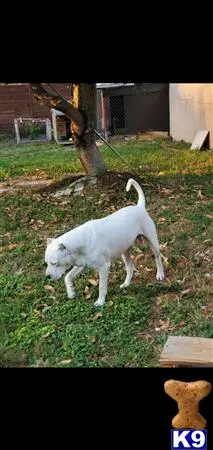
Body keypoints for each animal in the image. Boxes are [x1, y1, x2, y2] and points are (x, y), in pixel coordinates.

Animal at [45, 178, 165, 306]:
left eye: (54, 263)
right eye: (46, 263)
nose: (47, 277)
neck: (80, 241)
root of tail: (139, 207)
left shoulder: (103, 267)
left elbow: (102, 286)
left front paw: (100, 301)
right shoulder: (81, 265)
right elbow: (67, 277)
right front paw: (71, 292)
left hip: (153, 243)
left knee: (157, 258)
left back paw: (160, 274)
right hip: (124, 252)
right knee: (130, 267)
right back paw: (126, 284)